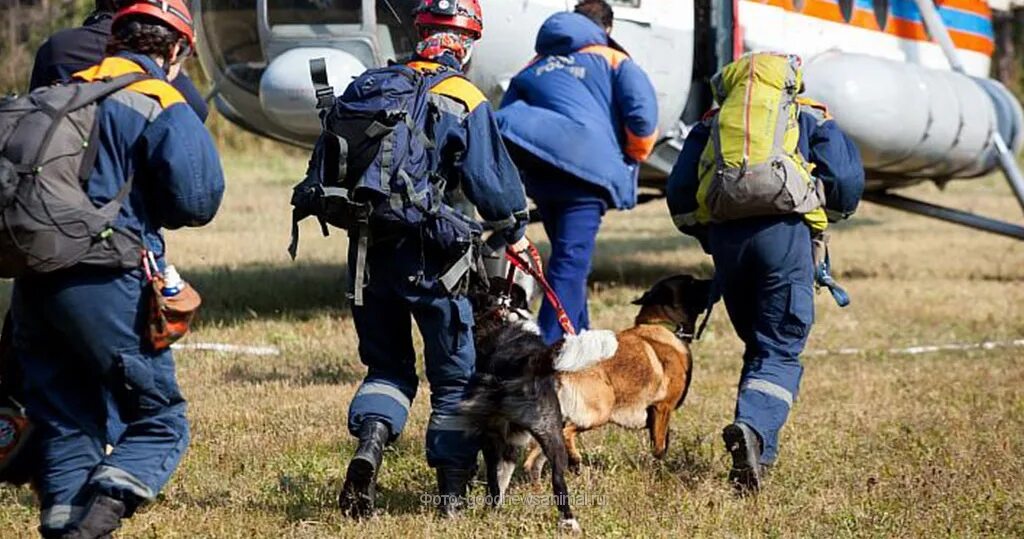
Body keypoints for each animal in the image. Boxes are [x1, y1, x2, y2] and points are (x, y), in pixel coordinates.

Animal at [528, 274, 712, 477]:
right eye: (692, 282)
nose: (713, 280)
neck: (663, 326)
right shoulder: (662, 408)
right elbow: (659, 449)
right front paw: (660, 471)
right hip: (600, 411)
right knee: (566, 434)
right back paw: (576, 459)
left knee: (533, 459)